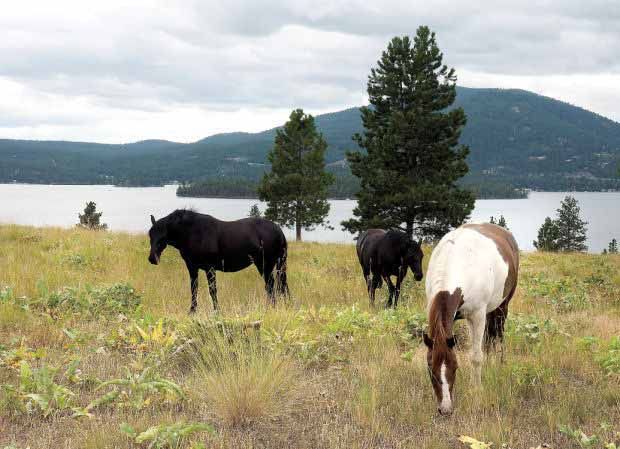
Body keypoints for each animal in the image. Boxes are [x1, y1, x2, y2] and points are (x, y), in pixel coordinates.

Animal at [149, 209, 290, 312]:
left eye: (162, 238)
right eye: (150, 235)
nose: (152, 259)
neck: (193, 232)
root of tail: (279, 231)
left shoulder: (210, 268)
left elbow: (212, 290)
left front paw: (217, 311)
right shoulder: (192, 268)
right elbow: (194, 289)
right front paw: (192, 311)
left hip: (266, 265)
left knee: (271, 287)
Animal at [422, 222, 520, 414]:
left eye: (454, 368)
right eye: (431, 371)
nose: (445, 409)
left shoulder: (478, 315)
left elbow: (475, 356)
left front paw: (476, 389)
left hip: (502, 306)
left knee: (499, 333)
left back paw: (500, 363)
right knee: (489, 339)